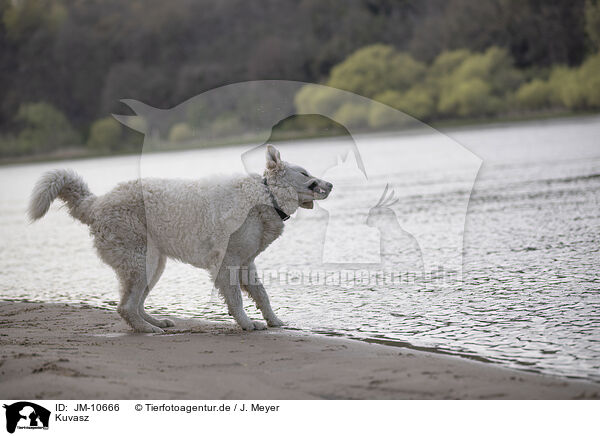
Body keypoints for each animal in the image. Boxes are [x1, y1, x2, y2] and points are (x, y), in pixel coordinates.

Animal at [28, 146, 332, 334]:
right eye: (305, 174)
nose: (331, 185)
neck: (265, 196)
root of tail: (96, 203)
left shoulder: (247, 263)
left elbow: (262, 295)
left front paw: (275, 321)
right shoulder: (227, 264)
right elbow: (236, 300)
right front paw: (247, 324)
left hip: (152, 265)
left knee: (134, 304)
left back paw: (156, 323)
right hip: (141, 262)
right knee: (125, 307)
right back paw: (148, 330)